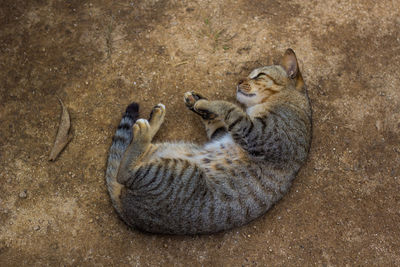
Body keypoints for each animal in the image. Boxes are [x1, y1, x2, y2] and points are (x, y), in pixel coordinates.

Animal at [104, 49, 310, 234]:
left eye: (259, 75)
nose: (238, 81)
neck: (287, 101)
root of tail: (127, 213)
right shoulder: (224, 132)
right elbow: (218, 120)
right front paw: (197, 101)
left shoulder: (258, 133)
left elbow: (229, 107)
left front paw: (205, 103)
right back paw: (155, 120)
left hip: (180, 173)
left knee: (125, 173)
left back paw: (144, 131)